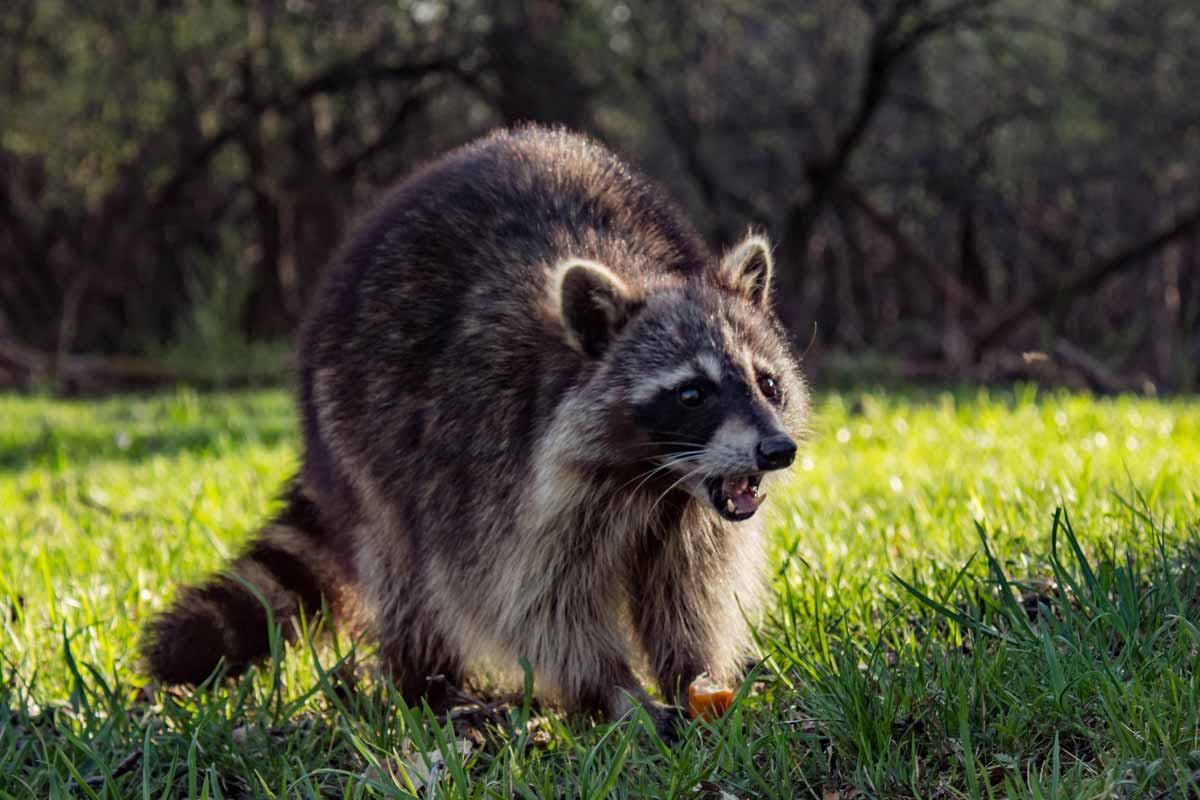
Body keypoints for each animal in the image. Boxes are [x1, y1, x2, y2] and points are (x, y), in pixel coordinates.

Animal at [145, 123, 811, 734]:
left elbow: (690, 590)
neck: (654, 479)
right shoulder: (495, 473)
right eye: (692, 393)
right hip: (353, 427)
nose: (776, 449)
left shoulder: (689, 517)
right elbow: (534, 602)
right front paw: (613, 690)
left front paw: (695, 672)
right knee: (406, 570)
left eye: (768, 383)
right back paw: (428, 684)